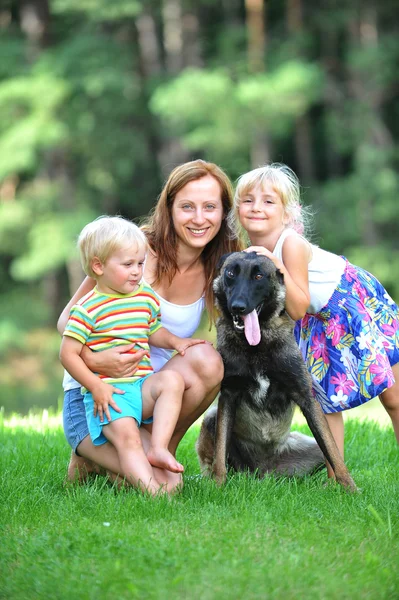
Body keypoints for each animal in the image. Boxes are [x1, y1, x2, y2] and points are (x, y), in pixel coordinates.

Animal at [196, 251, 356, 490]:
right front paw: (218, 485)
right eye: (230, 274)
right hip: (210, 420)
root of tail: (264, 473)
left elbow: (333, 451)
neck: (256, 345)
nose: (238, 307)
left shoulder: (305, 396)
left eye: (258, 276)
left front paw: (350, 488)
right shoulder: (228, 396)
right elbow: (220, 454)